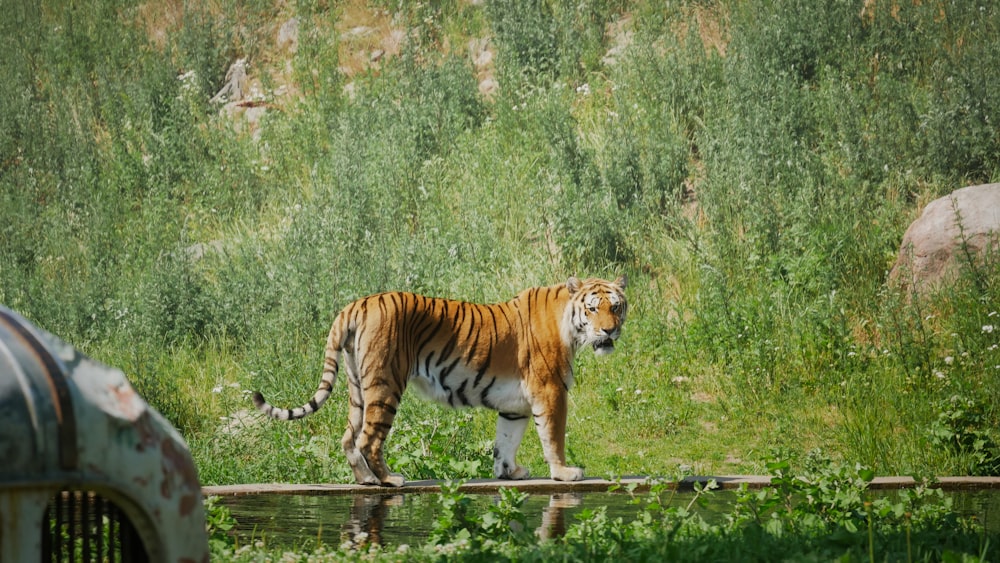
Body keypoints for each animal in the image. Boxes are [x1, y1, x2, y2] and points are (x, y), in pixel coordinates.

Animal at [250, 276, 628, 486]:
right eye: (593, 309)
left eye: (616, 307)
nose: (610, 331)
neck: (570, 326)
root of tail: (355, 304)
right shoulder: (551, 392)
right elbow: (553, 438)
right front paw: (564, 473)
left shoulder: (515, 404)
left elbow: (506, 440)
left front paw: (508, 473)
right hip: (385, 383)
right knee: (369, 440)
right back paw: (389, 480)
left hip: (357, 387)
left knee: (348, 438)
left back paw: (366, 481)